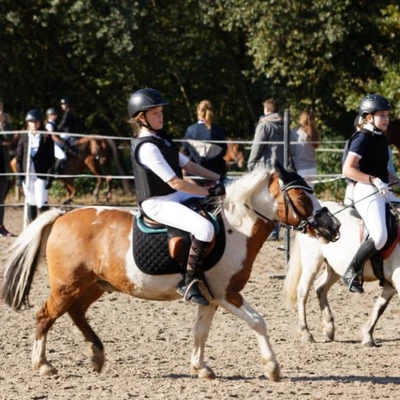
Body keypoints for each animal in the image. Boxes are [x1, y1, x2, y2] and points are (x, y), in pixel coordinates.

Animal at [2, 163, 340, 382]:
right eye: (302, 197)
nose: (332, 227)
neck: (235, 228)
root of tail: (61, 217)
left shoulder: (210, 298)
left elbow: (200, 331)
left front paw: (201, 368)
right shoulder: (227, 294)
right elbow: (258, 322)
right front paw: (272, 368)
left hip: (93, 285)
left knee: (77, 313)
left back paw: (97, 356)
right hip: (67, 285)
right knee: (45, 316)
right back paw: (43, 365)